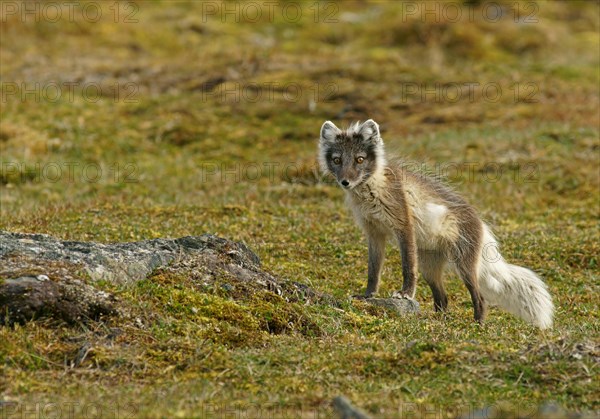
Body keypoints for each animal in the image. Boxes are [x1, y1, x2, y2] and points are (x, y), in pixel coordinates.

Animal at [318, 120, 552, 330]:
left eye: (359, 159)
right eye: (337, 160)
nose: (345, 182)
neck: (372, 190)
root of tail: (480, 222)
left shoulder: (403, 226)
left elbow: (407, 267)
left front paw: (405, 294)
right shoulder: (374, 232)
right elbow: (373, 270)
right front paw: (368, 295)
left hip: (464, 266)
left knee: (480, 298)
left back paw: (477, 325)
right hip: (429, 269)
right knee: (443, 298)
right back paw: (438, 322)